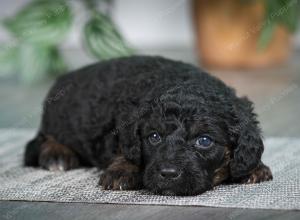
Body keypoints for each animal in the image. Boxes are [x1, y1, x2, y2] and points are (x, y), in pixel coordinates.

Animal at [24, 55, 272, 196]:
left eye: (204, 141)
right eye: (154, 137)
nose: (168, 174)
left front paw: (255, 167)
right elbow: (124, 148)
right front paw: (123, 169)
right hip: (59, 119)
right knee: (42, 139)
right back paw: (57, 154)